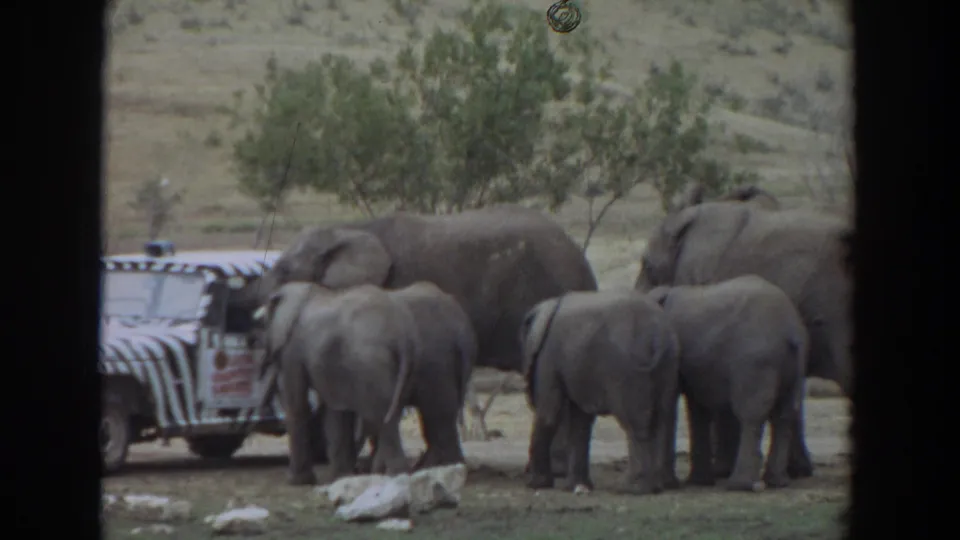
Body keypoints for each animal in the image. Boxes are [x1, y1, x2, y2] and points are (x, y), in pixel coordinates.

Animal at [259, 282, 420, 485]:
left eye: (264, 326)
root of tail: (401, 335)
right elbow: (335, 411)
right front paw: (339, 477)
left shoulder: (291, 349)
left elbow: (298, 406)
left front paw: (297, 481)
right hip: (406, 366)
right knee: (391, 414)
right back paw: (388, 473)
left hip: (371, 363)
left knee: (381, 415)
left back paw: (393, 474)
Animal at [519, 290, 681, 495]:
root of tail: (657, 335)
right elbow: (580, 421)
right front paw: (576, 486)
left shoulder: (548, 355)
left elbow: (549, 414)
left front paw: (536, 484)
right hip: (669, 363)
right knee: (664, 417)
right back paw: (656, 486)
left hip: (626, 369)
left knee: (634, 422)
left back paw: (632, 487)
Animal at [646, 275, 809, 491]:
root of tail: (791, 330)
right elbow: (697, 407)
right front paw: (699, 482)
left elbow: (671, 401)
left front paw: (671, 484)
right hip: (794, 363)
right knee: (785, 413)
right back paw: (777, 482)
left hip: (755, 361)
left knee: (751, 414)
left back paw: (739, 484)